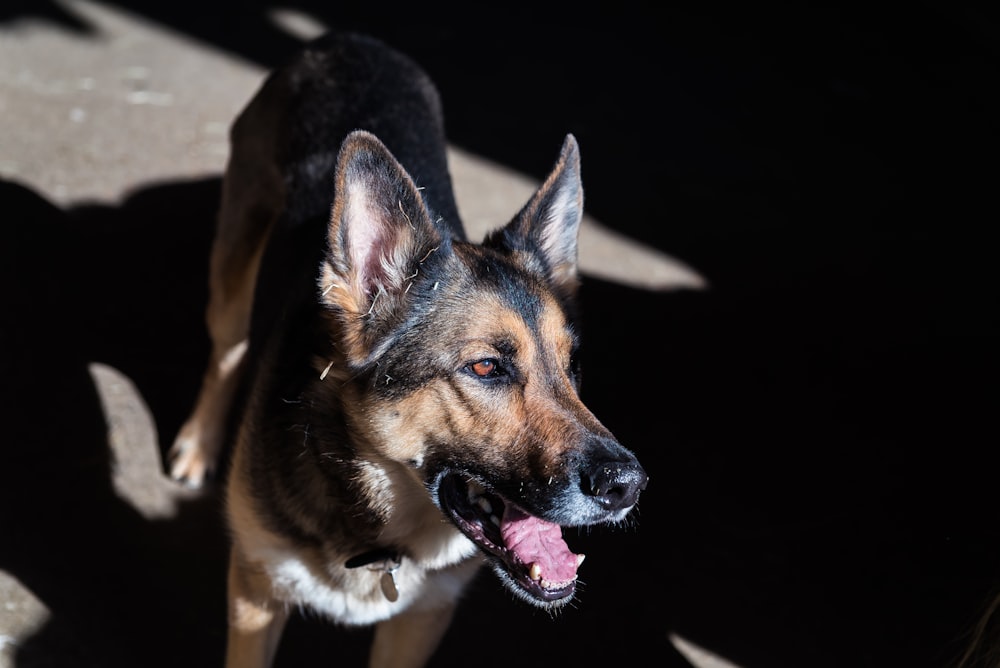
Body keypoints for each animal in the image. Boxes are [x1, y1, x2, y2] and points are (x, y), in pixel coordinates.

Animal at [166, 31, 648, 668]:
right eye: (486, 367)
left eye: (572, 368)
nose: (628, 486)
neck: (381, 529)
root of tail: (349, 40)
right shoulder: (253, 595)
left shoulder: (422, 619)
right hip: (235, 258)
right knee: (228, 348)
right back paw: (198, 444)